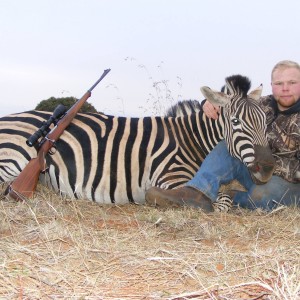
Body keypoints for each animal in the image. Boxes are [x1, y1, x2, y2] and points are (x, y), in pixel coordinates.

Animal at [0, 75, 274, 206]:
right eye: (236, 122)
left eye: (266, 120)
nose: (268, 168)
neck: (191, 140)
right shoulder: (169, 178)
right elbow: (219, 200)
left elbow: (225, 196)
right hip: (15, 157)